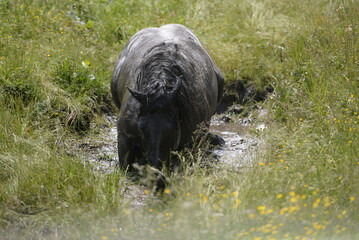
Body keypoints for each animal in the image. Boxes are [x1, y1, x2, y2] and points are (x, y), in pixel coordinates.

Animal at [111, 23, 224, 172]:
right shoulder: (124, 134)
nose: (156, 169)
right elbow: (125, 165)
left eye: (173, 129)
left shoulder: (193, 141)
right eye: (141, 128)